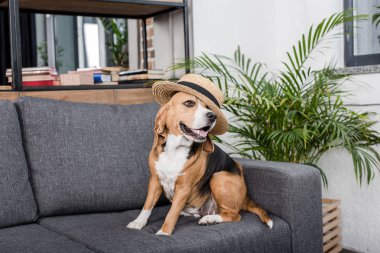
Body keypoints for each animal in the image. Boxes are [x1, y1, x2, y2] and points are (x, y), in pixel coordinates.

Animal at [127, 91, 274, 235]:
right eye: (189, 103)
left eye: (207, 107)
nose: (213, 116)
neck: (175, 149)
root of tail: (245, 197)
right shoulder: (155, 181)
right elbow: (147, 206)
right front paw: (138, 223)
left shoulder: (183, 188)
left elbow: (171, 213)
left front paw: (164, 232)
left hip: (218, 177)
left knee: (234, 215)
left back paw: (210, 219)